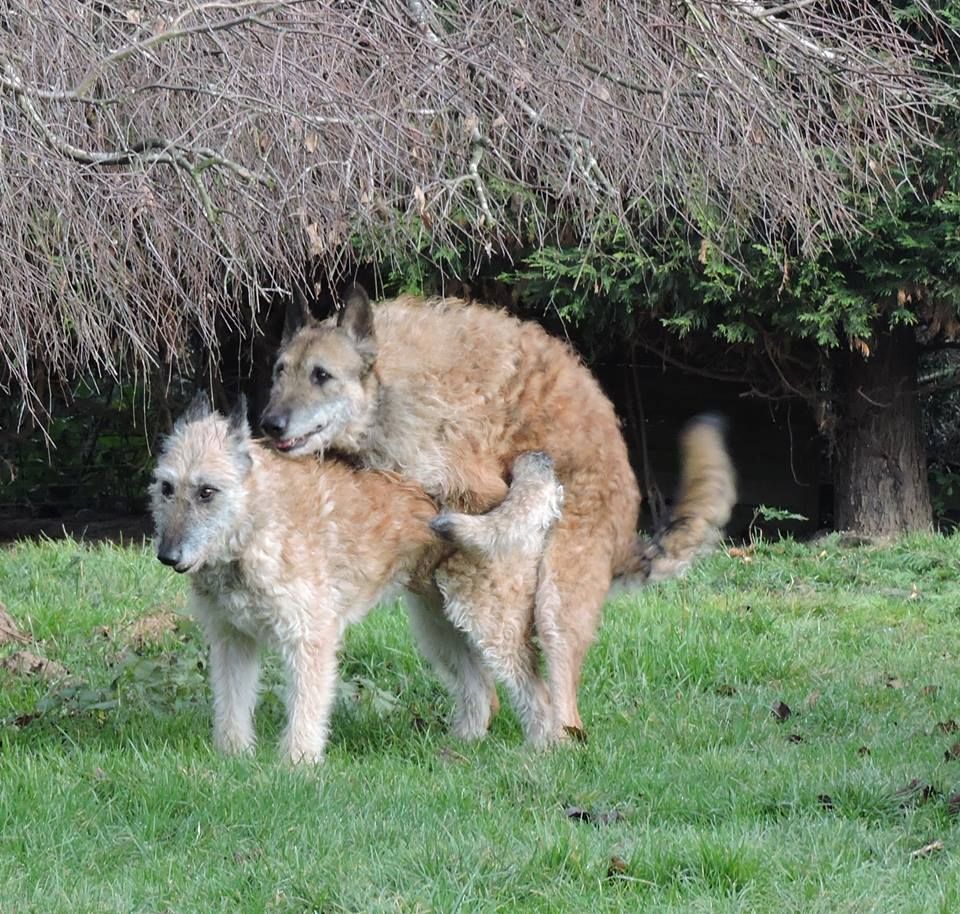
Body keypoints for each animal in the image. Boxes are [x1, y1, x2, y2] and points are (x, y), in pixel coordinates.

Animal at [150, 396, 564, 760]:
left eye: (207, 492)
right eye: (166, 488)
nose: (167, 556)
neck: (255, 522)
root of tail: (506, 479)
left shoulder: (310, 639)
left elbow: (305, 710)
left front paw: (297, 764)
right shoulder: (232, 641)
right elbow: (231, 706)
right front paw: (233, 756)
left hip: (491, 625)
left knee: (540, 695)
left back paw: (539, 752)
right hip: (439, 628)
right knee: (481, 692)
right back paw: (458, 748)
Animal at [260, 286, 736, 740]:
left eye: (321, 375)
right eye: (279, 370)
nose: (270, 423)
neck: (385, 388)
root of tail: (626, 535)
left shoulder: (475, 486)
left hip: (555, 607)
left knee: (560, 711)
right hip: (434, 621)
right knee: (487, 694)